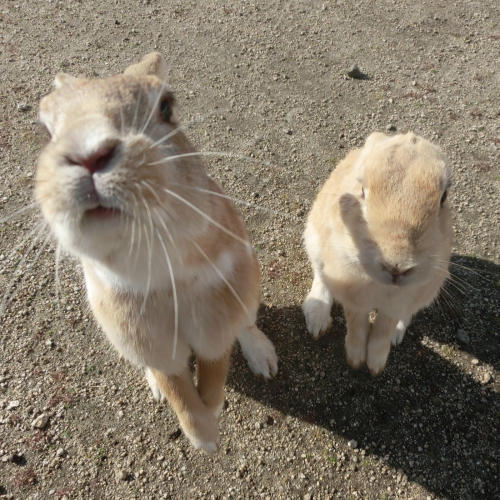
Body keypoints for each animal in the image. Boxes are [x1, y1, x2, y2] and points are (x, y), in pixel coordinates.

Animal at [35, 52, 278, 454]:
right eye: (48, 130)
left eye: (165, 107)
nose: (88, 155)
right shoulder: (150, 344)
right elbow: (177, 388)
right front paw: (205, 438)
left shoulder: (215, 318)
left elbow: (214, 370)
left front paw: (213, 417)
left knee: (245, 324)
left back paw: (265, 360)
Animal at [302, 132, 453, 375]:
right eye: (362, 189)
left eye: (444, 197)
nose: (396, 267)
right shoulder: (353, 296)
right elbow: (357, 325)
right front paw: (355, 360)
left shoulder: (399, 302)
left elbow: (383, 330)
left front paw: (375, 365)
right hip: (314, 240)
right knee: (320, 276)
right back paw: (317, 319)